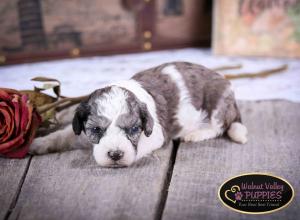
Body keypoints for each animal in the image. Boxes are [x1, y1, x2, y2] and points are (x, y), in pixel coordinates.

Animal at [29, 62, 247, 168]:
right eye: (96, 129)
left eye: (134, 129)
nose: (115, 155)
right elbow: (62, 135)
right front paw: (37, 144)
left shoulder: (157, 134)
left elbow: (141, 145)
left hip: (218, 100)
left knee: (220, 126)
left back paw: (197, 133)